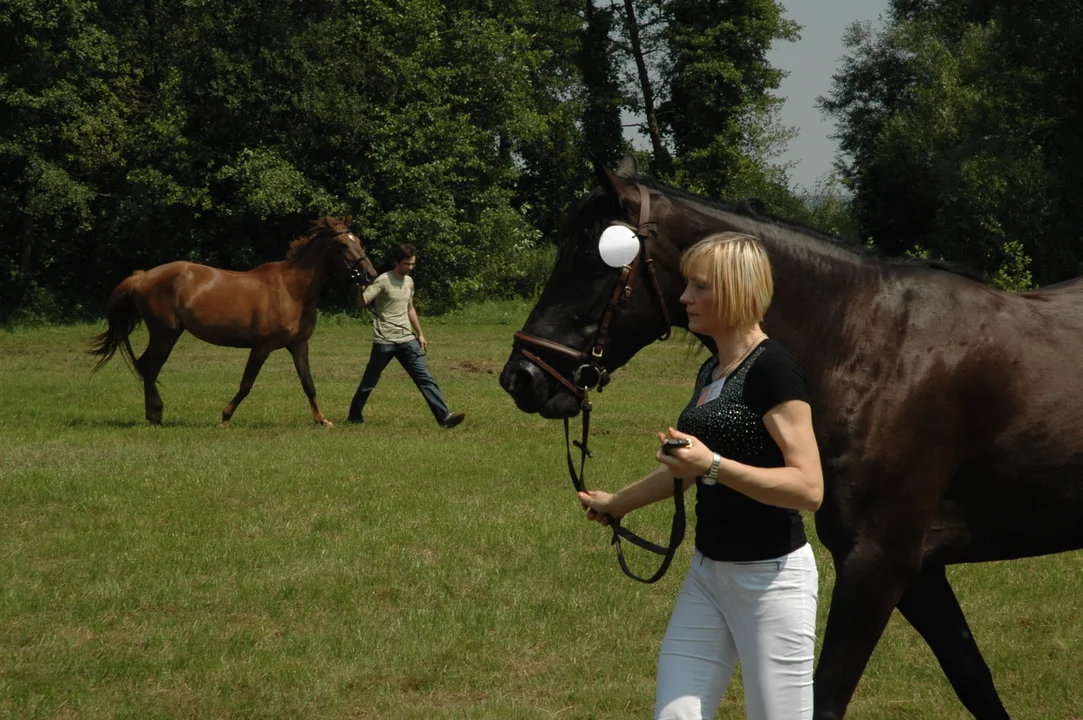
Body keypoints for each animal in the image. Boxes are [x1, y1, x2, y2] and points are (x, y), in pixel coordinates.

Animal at [89, 216, 376, 424]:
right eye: (343, 245)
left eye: (359, 241)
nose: (370, 275)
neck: (292, 290)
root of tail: (143, 276)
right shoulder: (261, 347)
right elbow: (247, 383)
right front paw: (225, 417)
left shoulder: (298, 345)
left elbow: (308, 383)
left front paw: (322, 420)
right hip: (164, 334)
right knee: (148, 366)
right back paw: (155, 414)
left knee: (147, 366)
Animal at [498, 156, 1083, 718]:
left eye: (592, 257)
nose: (520, 378)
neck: (872, 348)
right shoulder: (920, 572)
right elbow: (975, 683)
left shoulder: (879, 562)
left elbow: (825, 698)